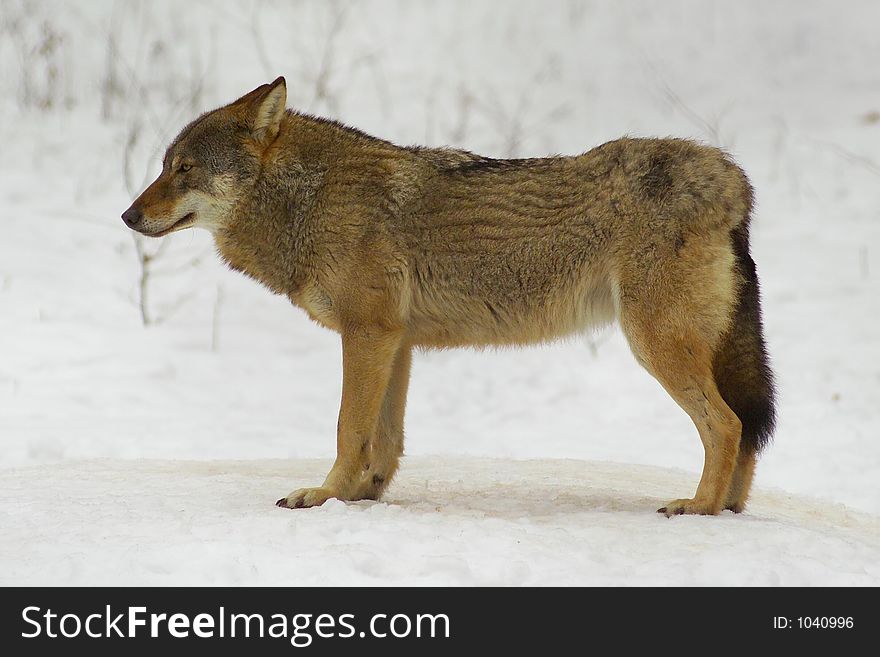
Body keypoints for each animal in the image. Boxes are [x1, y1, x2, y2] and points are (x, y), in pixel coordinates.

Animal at [120, 77, 772, 516]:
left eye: (185, 169)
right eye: (164, 166)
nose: (128, 216)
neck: (310, 200)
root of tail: (732, 177)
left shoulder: (367, 335)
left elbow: (347, 427)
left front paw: (324, 495)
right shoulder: (394, 342)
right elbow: (383, 440)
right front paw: (360, 497)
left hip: (654, 344)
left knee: (727, 424)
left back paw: (697, 507)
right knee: (745, 429)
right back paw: (728, 510)